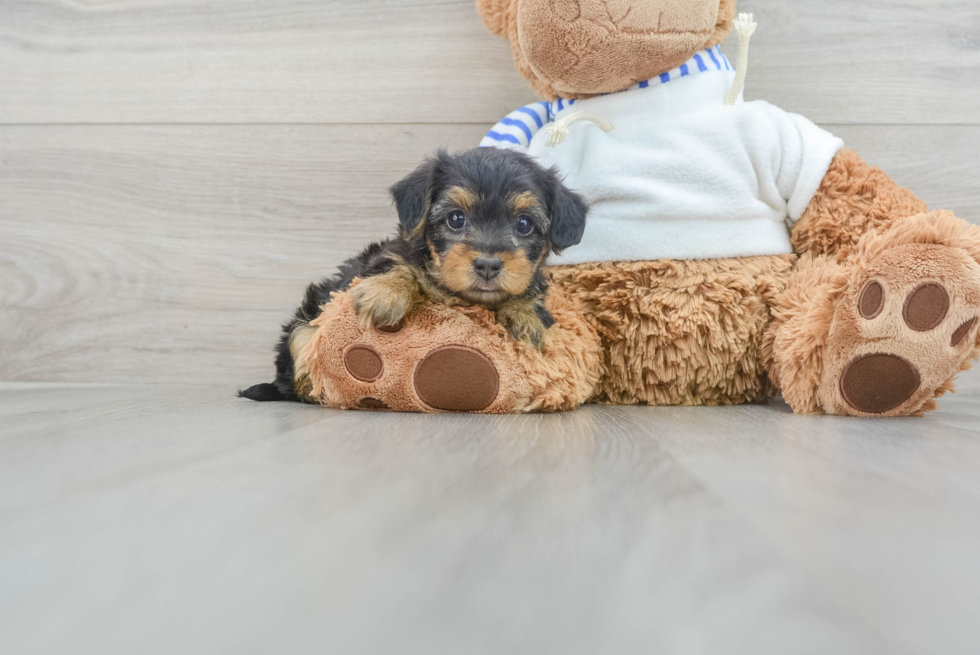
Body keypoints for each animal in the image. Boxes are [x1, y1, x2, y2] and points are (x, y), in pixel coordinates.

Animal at [240, 149, 584, 402]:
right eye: (456, 219)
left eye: (524, 224)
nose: (488, 265)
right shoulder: (391, 253)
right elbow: (396, 264)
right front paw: (386, 294)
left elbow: (531, 293)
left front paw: (526, 316)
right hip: (304, 323)